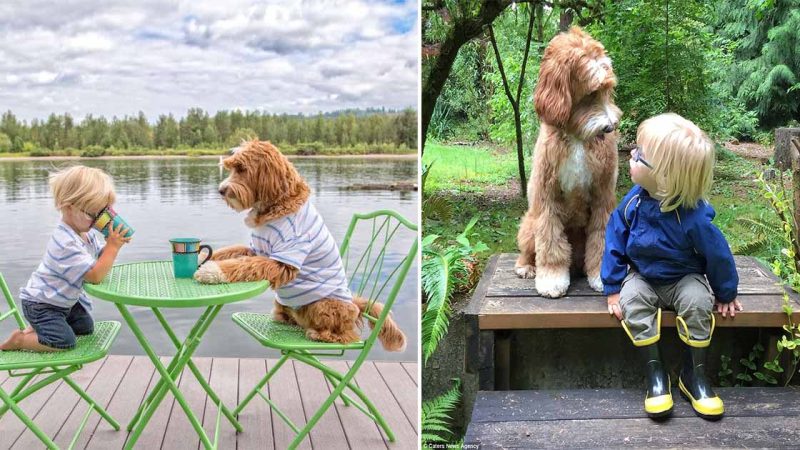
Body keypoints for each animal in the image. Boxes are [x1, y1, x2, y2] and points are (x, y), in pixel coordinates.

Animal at [192, 141, 406, 352]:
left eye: (242, 169)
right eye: (232, 168)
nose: (221, 190)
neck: (276, 205)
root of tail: (354, 304)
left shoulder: (284, 259)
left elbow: (244, 265)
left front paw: (211, 271)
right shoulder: (255, 249)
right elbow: (231, 252)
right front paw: (202, 257)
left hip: (324, 305)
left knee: (347, 335)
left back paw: (319, 334)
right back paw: (284, 317)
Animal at [516, 26, 620, 298]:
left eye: (607, 89)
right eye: (592, 92)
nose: (609, 127)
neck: (577, 137)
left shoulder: (603, 195)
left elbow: (601, 237)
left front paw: (601, 276)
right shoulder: (547, 195)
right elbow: (550, 240)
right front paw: (552, 279)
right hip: (529, 224)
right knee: (528, 249)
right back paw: (526, 267)